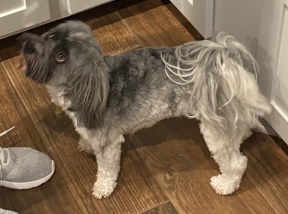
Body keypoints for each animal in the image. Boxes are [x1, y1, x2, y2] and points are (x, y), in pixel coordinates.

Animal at [20, 20, 272, 199]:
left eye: (60, 56)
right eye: (50, 35)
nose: (26, 44)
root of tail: (228, 62)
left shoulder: (109, 143)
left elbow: (106, 169)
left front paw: (102, 188)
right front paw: (85, 144)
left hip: (214, 129)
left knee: (237, 162)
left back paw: (225, 184)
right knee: (241, 132)